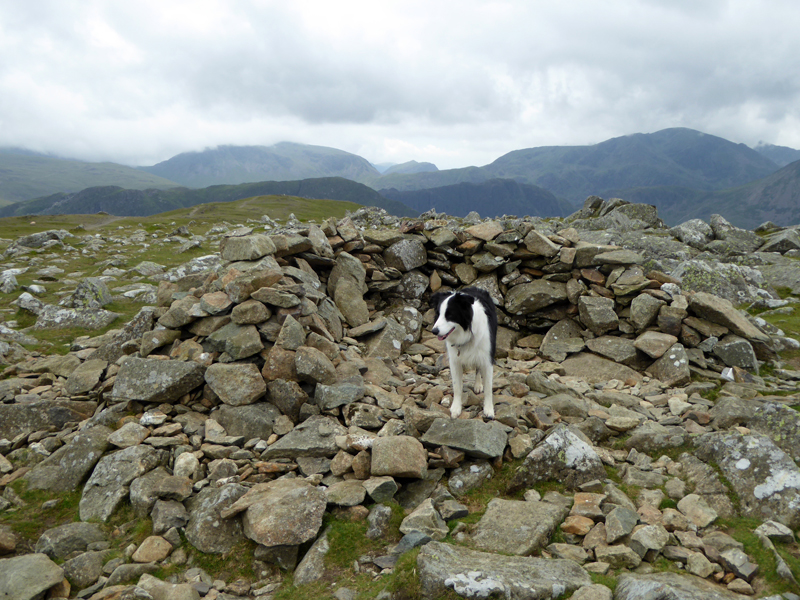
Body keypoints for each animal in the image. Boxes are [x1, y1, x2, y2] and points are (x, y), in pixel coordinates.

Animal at [428, 288, 496, 420]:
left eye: (449, 315)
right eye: (438, 314)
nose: (434, 331)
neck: (466, 333)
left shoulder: (487, 359)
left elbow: (489, 387)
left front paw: (489, 409)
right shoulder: (455, 361)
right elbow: (457, 386)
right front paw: (456, 408)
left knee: (478, 369)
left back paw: (478, 385)